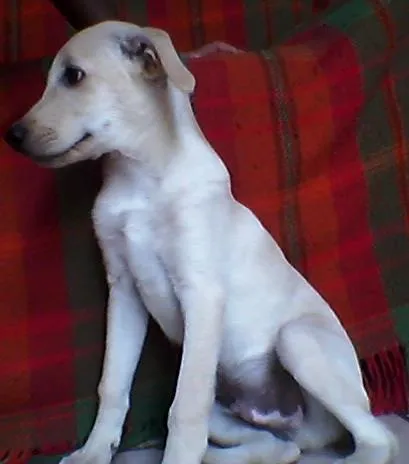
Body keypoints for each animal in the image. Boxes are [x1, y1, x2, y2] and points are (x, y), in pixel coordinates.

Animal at [4, 21, 398, 464]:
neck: (139, 180)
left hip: (296, 340)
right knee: (280, 447)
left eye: (73, 76)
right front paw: (94, 451)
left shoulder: (201, 292)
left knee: (378, 437)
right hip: (230, 413)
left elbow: (184, 409)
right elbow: (114, 385)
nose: (12, 135)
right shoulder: (124, 292)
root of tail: (295, 421)